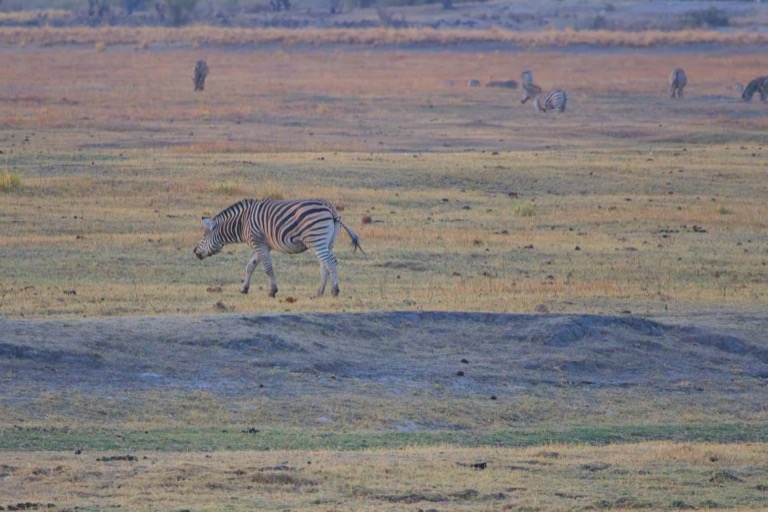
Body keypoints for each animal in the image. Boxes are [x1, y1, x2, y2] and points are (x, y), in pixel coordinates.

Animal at [194, 198, 365, 298]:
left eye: (204, 235)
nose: (195, 252)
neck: (242, 222)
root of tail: (331, 209)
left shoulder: (259, 243)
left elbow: (268, 268)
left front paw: (272, 291)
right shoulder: (263, 245)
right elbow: (250, 266)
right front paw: (244, 289)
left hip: (317, 240)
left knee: (331, 262)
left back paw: (335, 291)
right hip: (326, 242)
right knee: (325, 265)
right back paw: (319, 292)